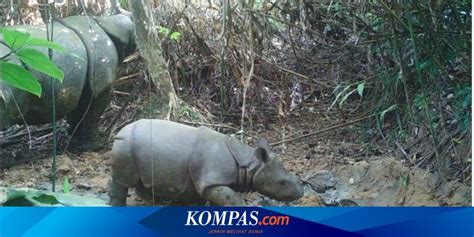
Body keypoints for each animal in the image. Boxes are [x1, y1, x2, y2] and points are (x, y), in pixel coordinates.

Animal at [0, 12, 135, 148]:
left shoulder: (80, 85)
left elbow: (77, 111)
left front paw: (75, 141)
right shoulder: (101, 82)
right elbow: (94, 113)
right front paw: (96, 144)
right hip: (10, 70)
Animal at [108, 119, 304, 206]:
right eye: (282, 183)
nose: (300, 193)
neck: (249, 164)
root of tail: (120, 130)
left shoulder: (201, 182)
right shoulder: (211, 181)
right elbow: (231, 199)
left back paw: (157, 201)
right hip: (125, 145)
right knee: (123, 180)